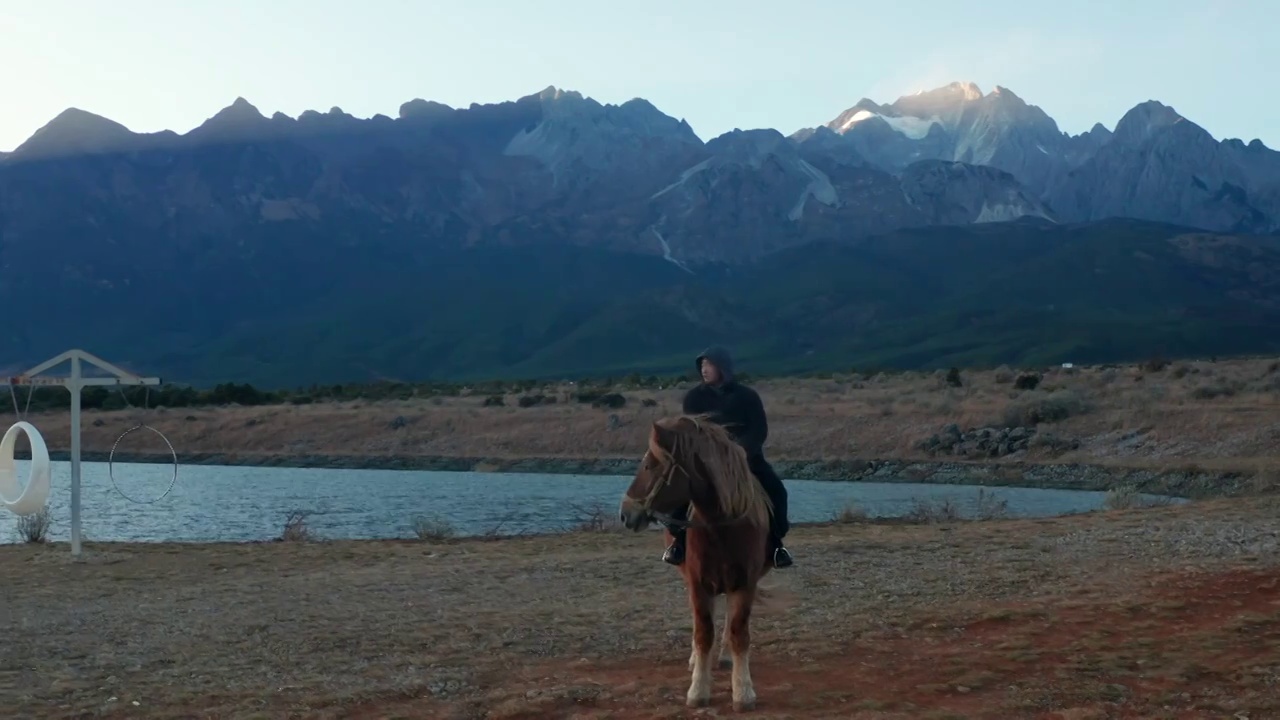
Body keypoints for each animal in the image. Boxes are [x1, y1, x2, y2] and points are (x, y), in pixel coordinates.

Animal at [616, 412, 773, 707]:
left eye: (649, 465)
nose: (625, 513)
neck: (721, 526)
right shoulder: (699, 584)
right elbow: (703, 632)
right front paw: (698, 690)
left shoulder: (745, 583)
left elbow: (738, 632)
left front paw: (743, 691)